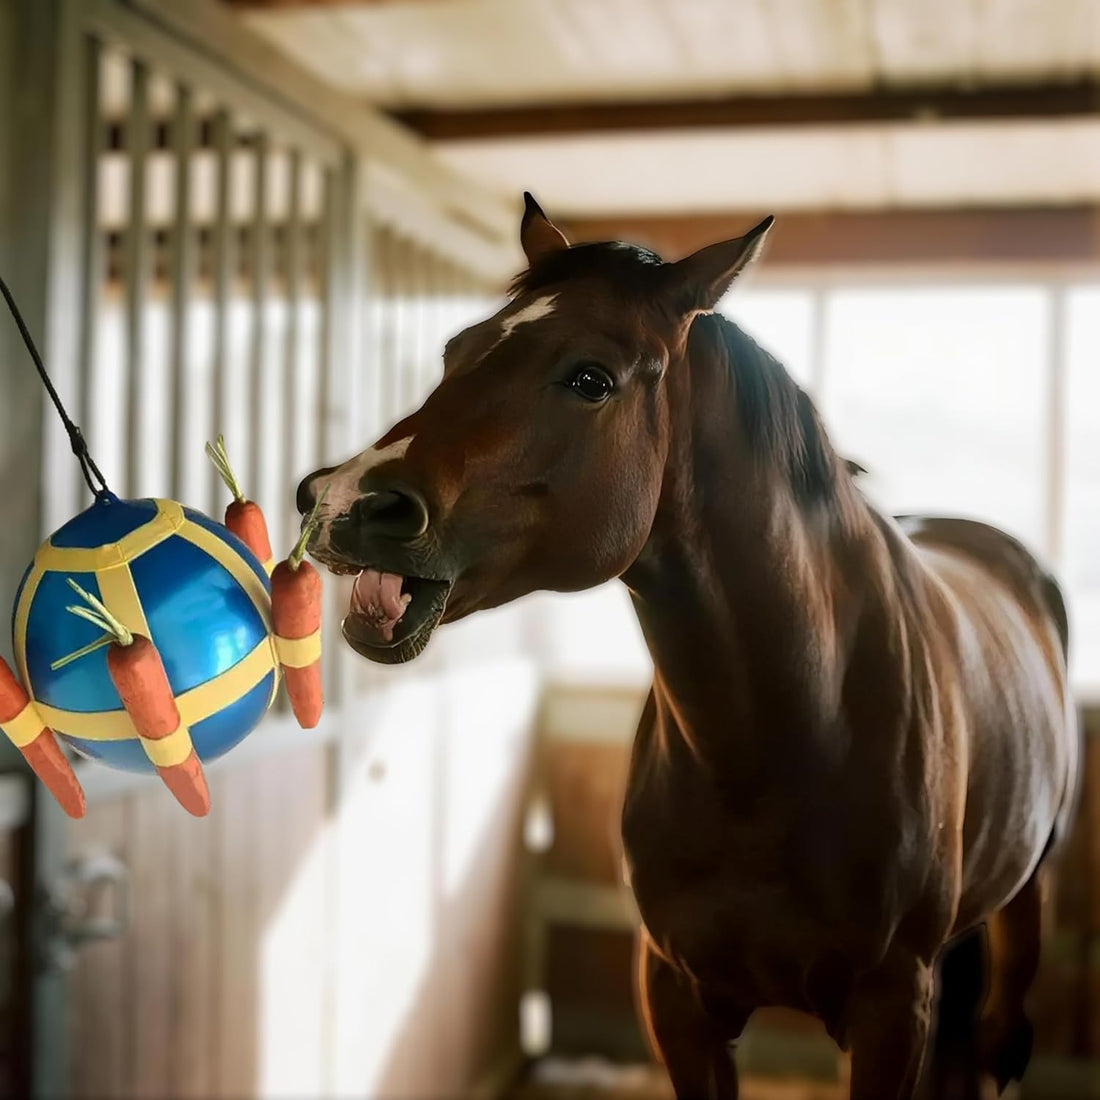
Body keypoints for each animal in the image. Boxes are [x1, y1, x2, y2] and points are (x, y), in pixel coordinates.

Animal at [296, 195, 1079, 1100]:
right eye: (457, 351)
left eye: (590, 378)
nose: (340, 501)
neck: (793, 729)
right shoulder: (676, 996)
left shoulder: (891, 1009)